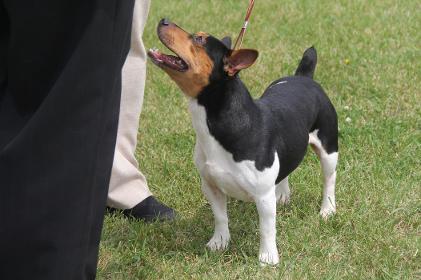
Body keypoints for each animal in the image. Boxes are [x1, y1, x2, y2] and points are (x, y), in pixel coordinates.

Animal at [148, 18, 338, 264]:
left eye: (199, 39)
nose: (163, 20)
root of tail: (304, 77)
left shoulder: (263, 196)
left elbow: (267, 228)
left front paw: (268, 258)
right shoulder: (210, 185)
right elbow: (220, 217)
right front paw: (219, 243)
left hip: (329, 148)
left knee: (329, 179)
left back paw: (328, 209)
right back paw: (283, 193)